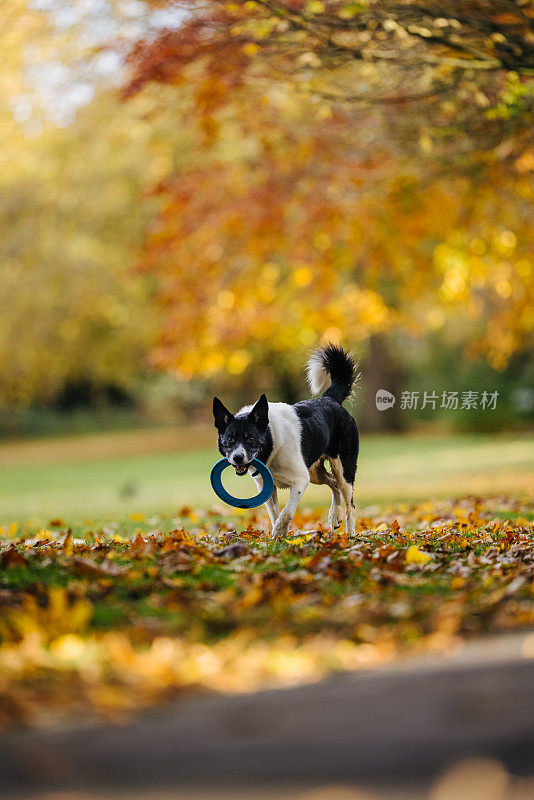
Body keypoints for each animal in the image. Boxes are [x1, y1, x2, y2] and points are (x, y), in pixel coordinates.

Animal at [214, 344, 360, 536]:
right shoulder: (266, 486)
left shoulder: (300, 481)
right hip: (314, 472)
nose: (238, 458)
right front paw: (279, 536)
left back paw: (350, 535)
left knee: (349, 502)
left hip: (342, 469)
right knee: (333, 483)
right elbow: (274, 513)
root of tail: (329, 399)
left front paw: (277, 531)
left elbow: (287, 512)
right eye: (230, 438)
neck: (272, 442)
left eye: (250, 438)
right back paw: (334, 516)